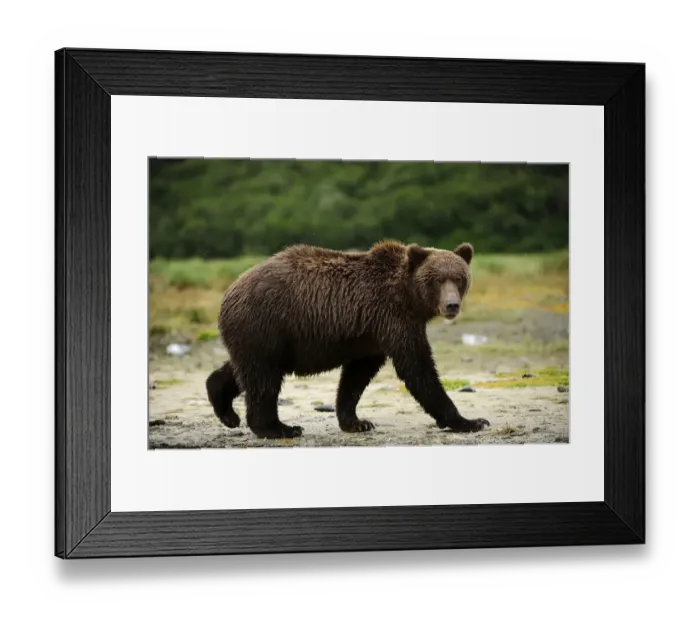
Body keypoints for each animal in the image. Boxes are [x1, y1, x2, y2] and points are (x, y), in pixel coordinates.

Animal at [205, 241, 490, 439]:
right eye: (438, 279)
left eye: (459, 278)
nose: (451, 305)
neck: (410, 298)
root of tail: (229, 292)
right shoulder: (393, 318)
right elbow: (417, 368)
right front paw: (471, 421)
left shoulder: (371, 333)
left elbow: (356, 376)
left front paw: (356, 422)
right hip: (267, 324)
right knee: (263, 378)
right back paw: (280, 428)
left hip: (262, 336)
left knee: (245, 369)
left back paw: (226, 409)